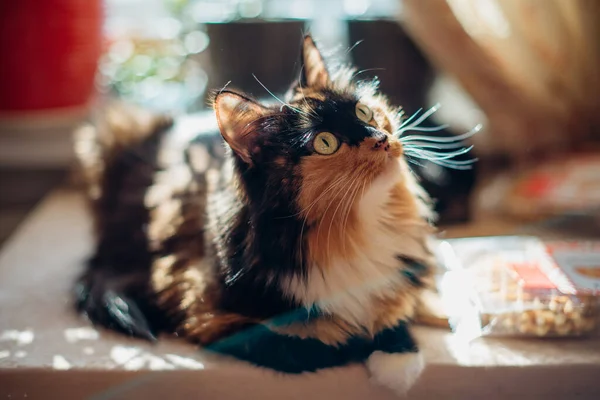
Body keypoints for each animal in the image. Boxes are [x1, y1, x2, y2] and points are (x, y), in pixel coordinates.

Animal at [75, 36, 440, 396]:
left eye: (362, 110)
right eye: (325, 142)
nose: (380, 139)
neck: (351, 232)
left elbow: (396, 308)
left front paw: (398, 356)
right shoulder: (205, 313)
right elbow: (320, 344)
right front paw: (379, 352)